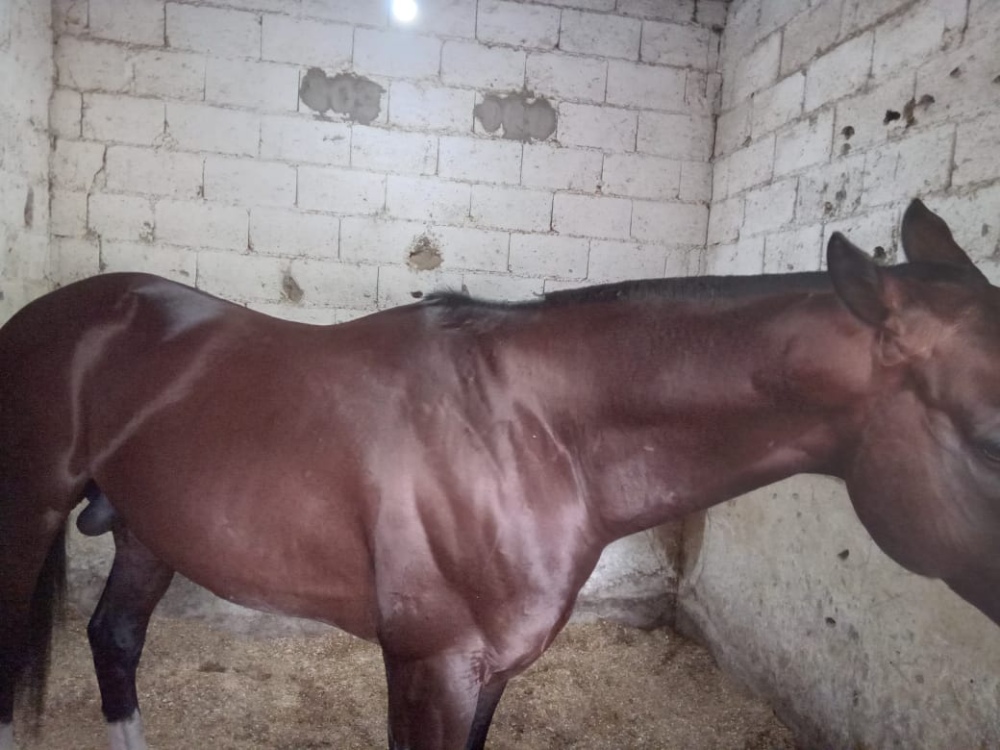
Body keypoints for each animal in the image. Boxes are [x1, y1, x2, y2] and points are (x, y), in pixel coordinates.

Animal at [1, 199, 998, 750]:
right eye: (989, 440)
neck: (528, 434)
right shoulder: (430, 665)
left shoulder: (490, 670)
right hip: (29, 514)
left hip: (150, 529)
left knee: (115, 640)